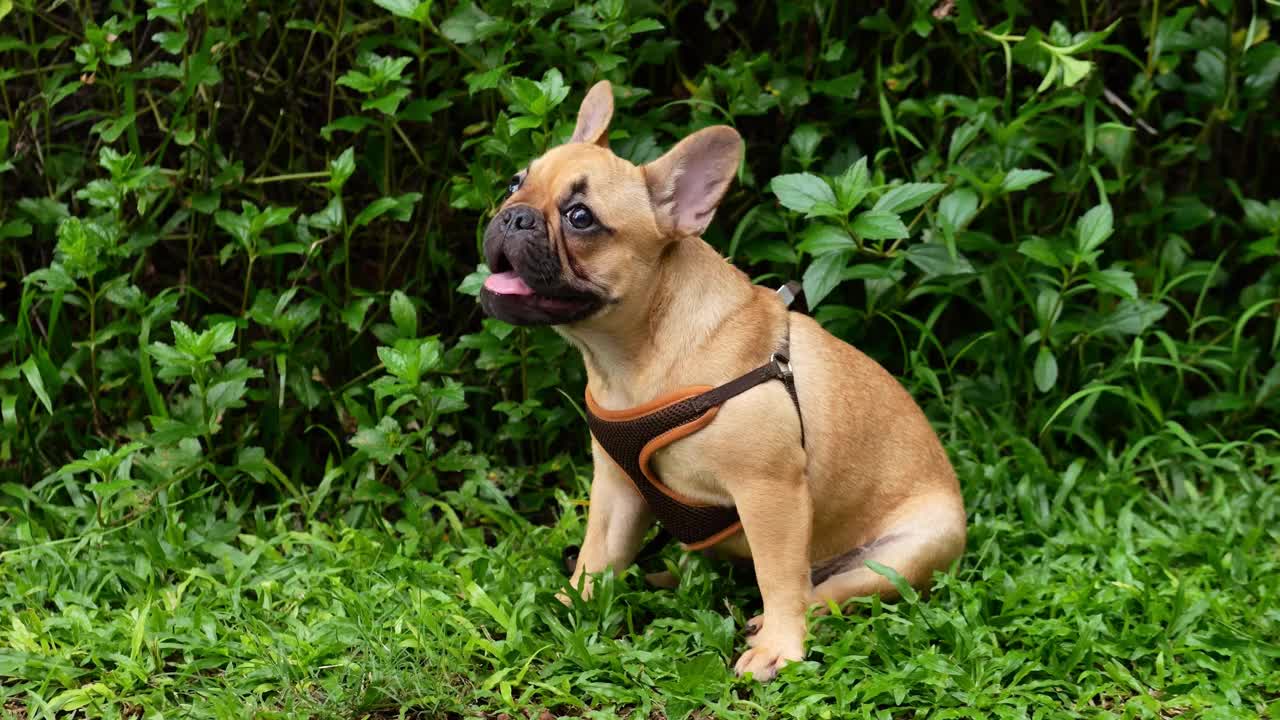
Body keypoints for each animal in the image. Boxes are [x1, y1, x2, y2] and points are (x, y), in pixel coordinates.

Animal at [476, 79, 962, 676]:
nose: (513, 216)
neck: (632, 356)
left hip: (906, 552)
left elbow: (779, 577)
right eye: (515, 182)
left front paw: (779, 647)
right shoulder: (616, 489)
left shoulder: (769, 493)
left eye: (580, 217)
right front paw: (570, 609)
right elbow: (596, 557)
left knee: (824, 590)